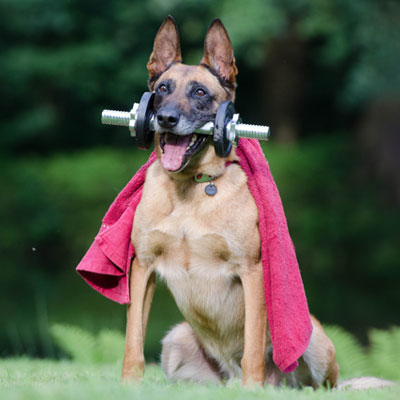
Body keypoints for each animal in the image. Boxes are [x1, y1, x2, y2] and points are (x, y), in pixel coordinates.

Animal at [121, 17, 338, 390]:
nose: (165, 118)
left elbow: (252, 348)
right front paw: (128, 386)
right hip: (176, 340)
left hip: (313, 341)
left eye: (199, 92)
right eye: (162, 88)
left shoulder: (251, 271)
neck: (190, 190)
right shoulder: (142, 267)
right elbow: (133, 342)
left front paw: (254, 390)